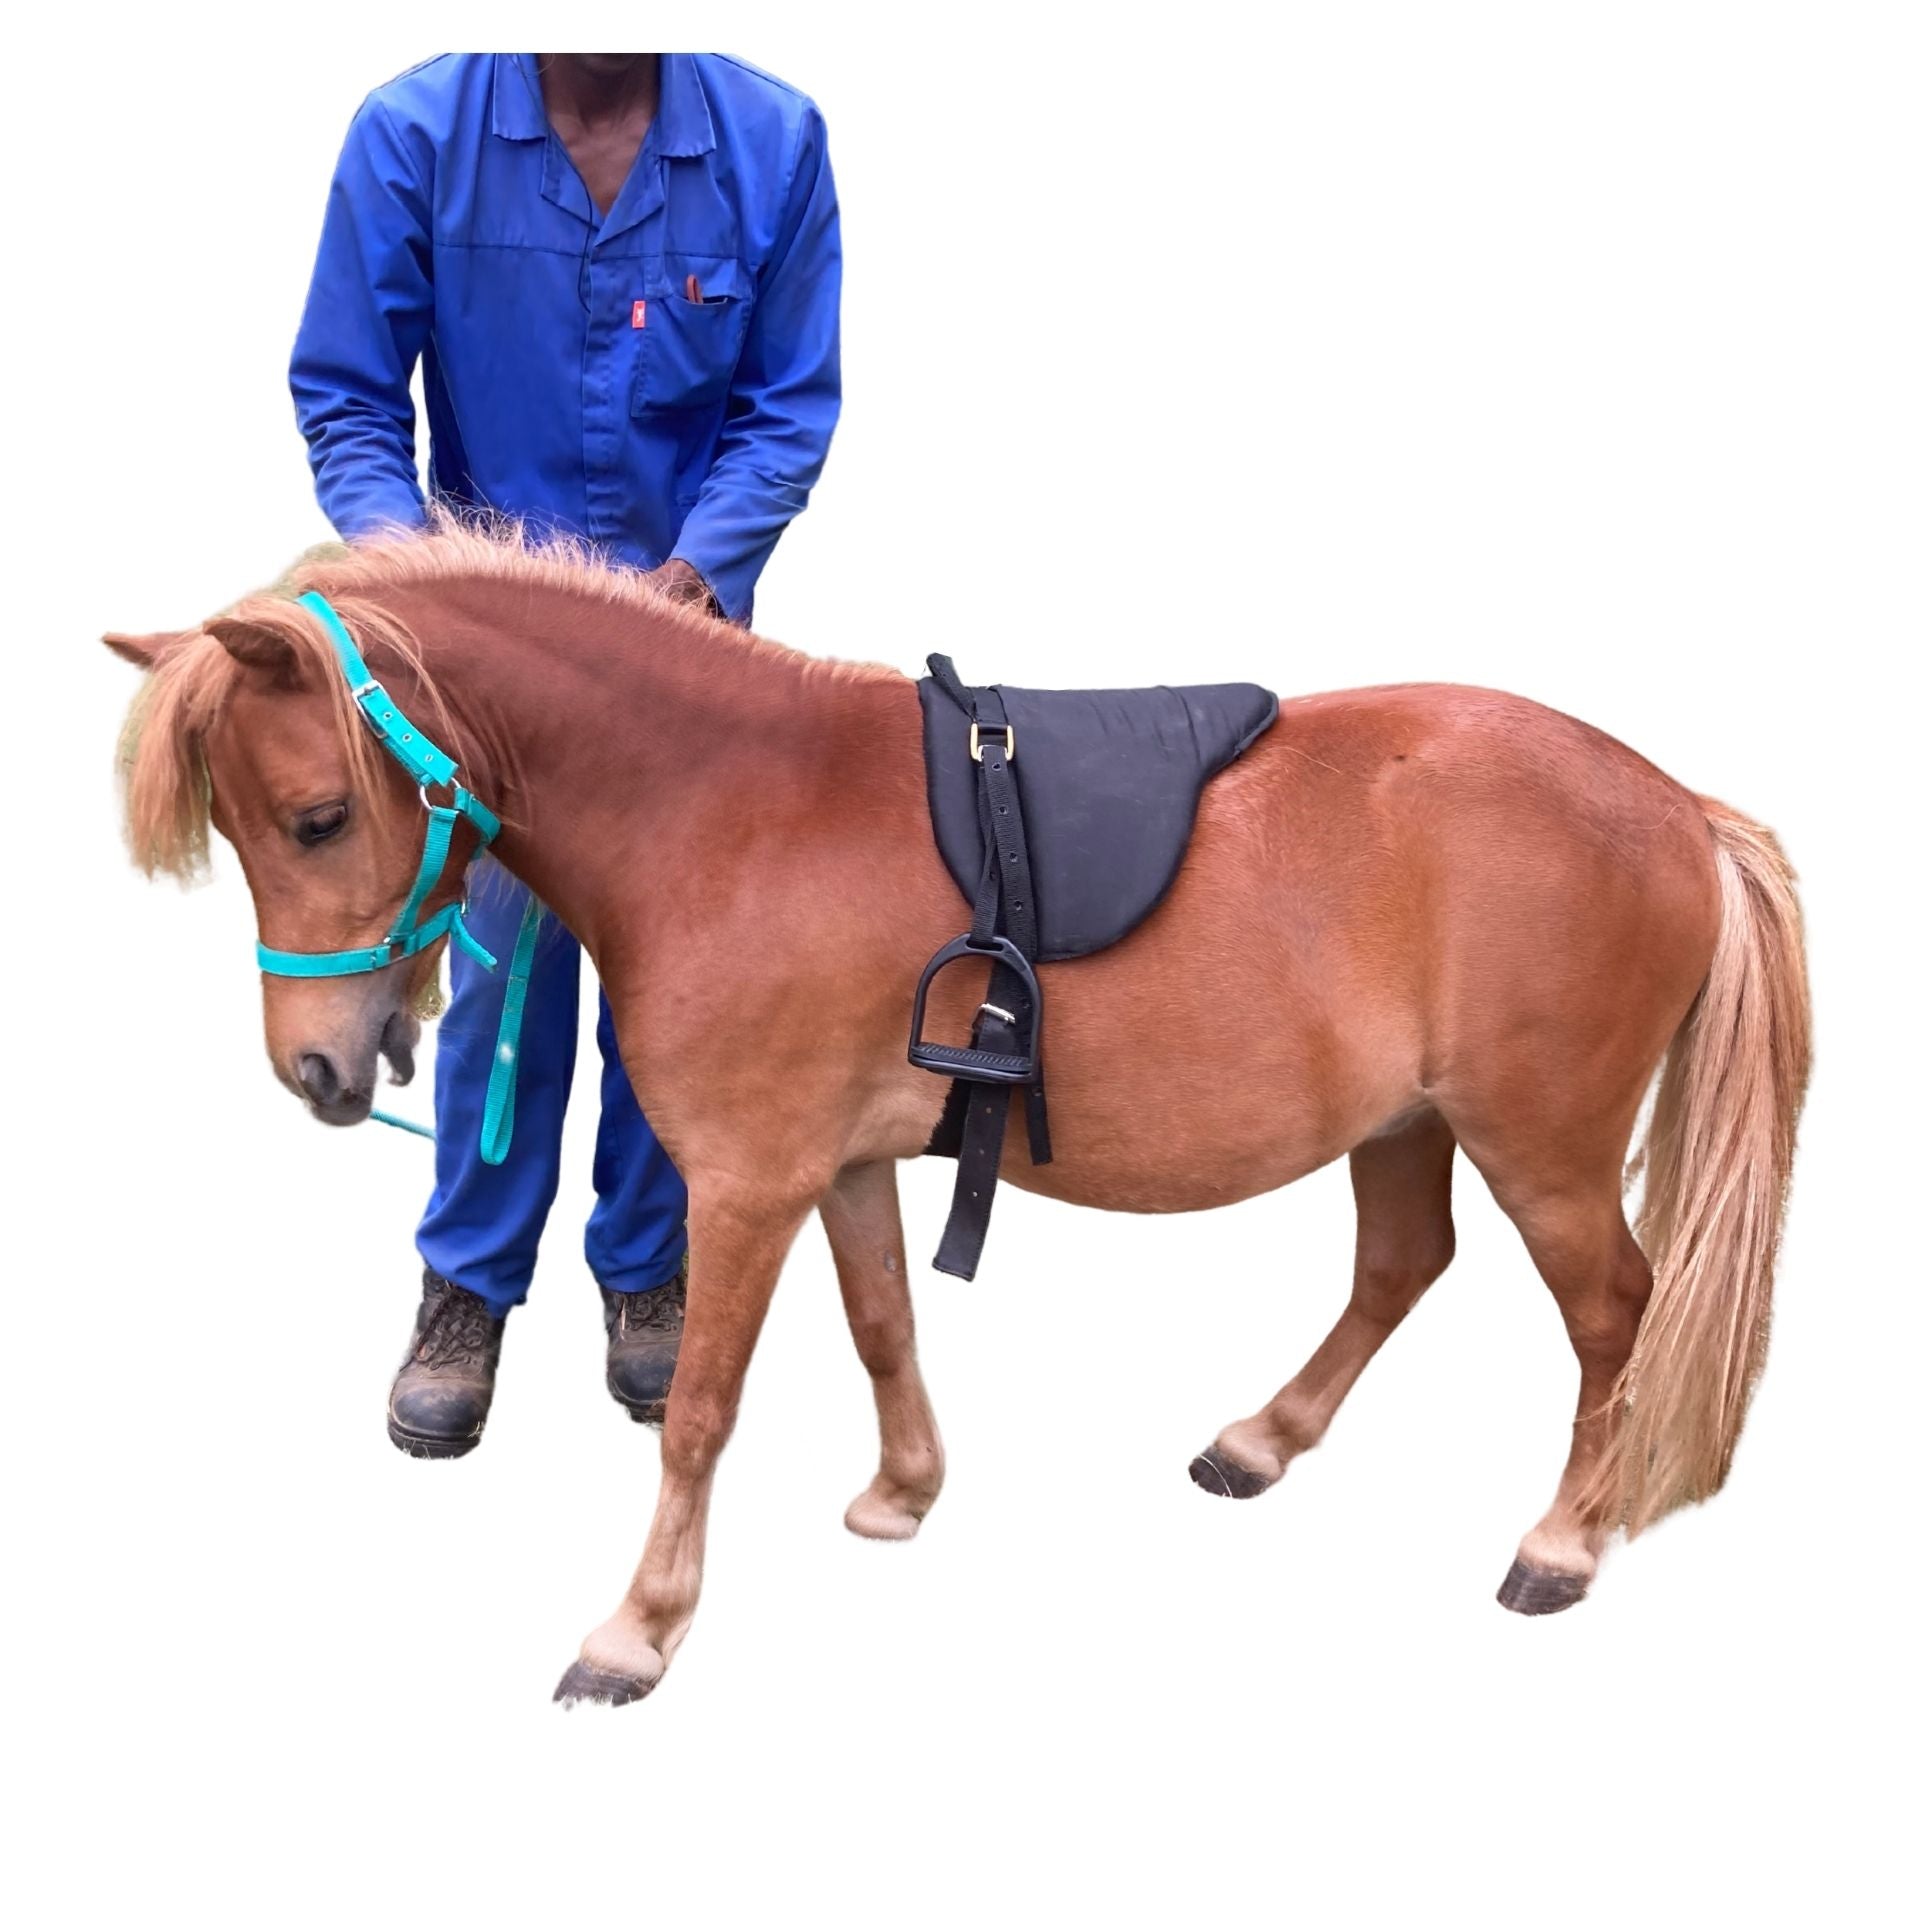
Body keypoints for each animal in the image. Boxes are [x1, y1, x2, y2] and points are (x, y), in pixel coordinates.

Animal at [106, 522, 1811, 1705]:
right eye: (243, 828)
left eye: (318, 818)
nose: (319, 1069)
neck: (728, 808)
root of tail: (1678, 808)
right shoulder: (845, 1163)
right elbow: (881, 1327)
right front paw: (901, 1494)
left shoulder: (746, 1183)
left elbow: (703, 1409)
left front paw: (640, 1630)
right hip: (1407, 1124)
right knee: (1401, 1269)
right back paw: (1261, 1441)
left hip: (1547, 1149)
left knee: (1613, 1317)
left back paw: (1564, 1541)